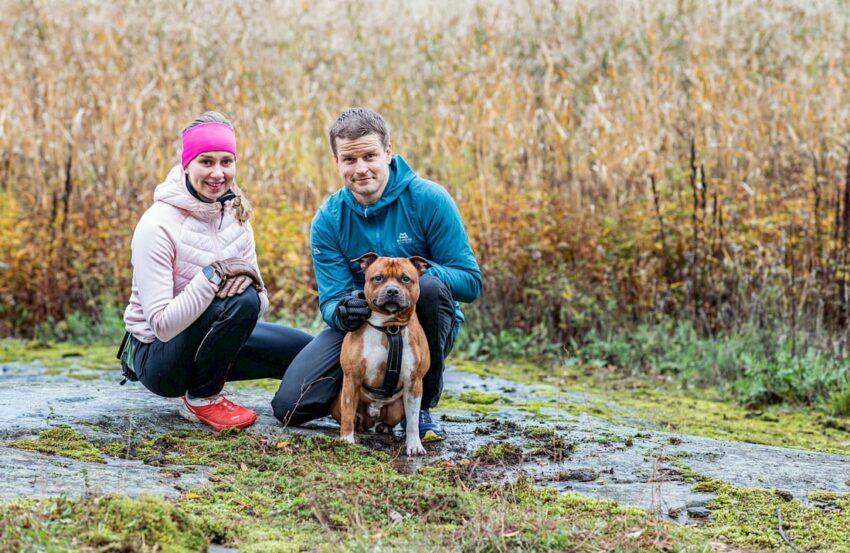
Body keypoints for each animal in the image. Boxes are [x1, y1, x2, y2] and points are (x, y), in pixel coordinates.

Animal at [328, 252, 428, 454]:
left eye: (406, 279)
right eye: (378, 278)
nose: (392, 291)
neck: (389, 328)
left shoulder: (414, 382)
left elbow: (413, 420)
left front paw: (414, 445)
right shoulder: (352, 378)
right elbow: (348, 413)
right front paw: (346, 440)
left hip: (398, 408)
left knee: (392, 420)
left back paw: (385, 428)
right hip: (339, 402)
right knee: (351, 416)